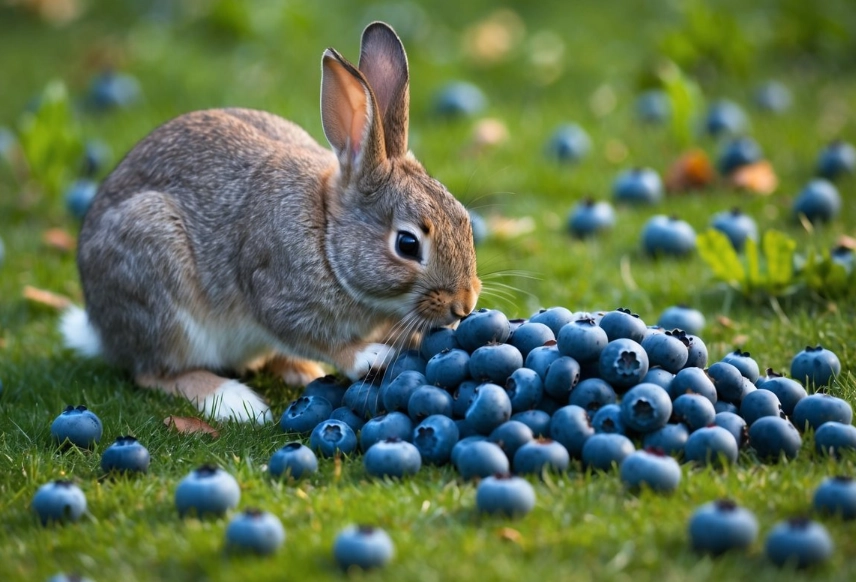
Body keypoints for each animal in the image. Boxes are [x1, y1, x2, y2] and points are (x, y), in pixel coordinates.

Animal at [60, 22, 481, 423]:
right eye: (407, 245)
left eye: (464, 219)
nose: (464, 306)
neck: (327, 236)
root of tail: (100, 330)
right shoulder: (276, 294)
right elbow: (318, 339)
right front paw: (370, 356)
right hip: (156, 282)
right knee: (155, 371)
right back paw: (235, 402)